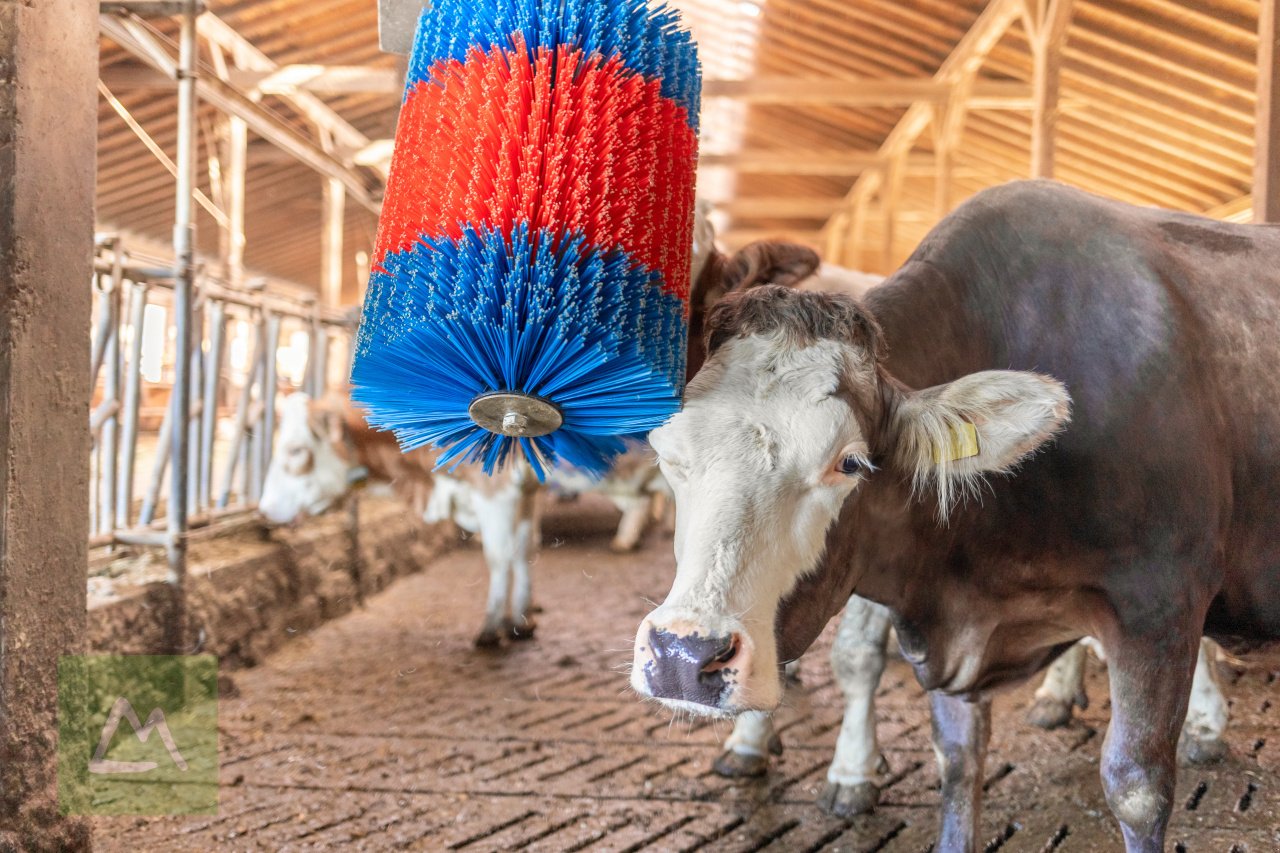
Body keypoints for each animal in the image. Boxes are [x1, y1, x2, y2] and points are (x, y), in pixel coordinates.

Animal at [632, 180, 1280, 850]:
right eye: (668, 449)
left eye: (851, 463)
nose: (684, 657)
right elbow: (959, 762)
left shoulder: (1160, 604)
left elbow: (1137, 788)